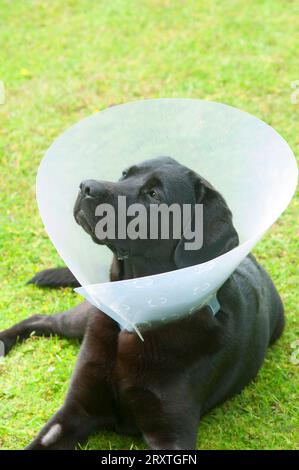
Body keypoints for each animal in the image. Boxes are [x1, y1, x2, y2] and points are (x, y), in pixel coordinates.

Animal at [0, 157, 286, 448]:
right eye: (125, 174)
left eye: (154, 195)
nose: (85, 186)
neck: (134, 317)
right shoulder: (76, 409)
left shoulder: (171, 434)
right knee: (41, 319)